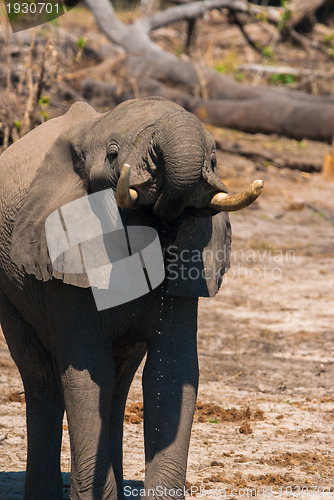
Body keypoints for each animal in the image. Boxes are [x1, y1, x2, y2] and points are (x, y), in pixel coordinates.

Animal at [0, 95, 262, 498]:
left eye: (215, 159)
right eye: (112, 155)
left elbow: (171, 372)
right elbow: (88, 372)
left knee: (119, 383)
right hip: (10, 294)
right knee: (41, 376)